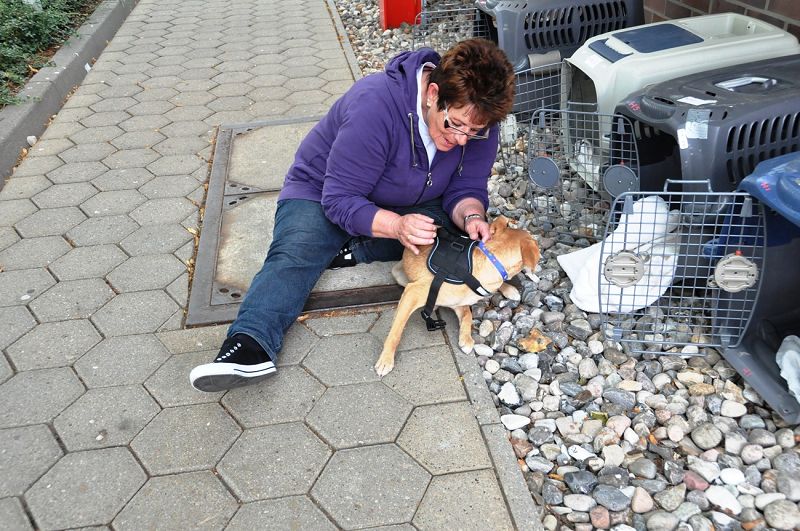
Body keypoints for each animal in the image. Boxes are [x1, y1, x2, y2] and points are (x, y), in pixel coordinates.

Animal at [376, 216, 540, 378]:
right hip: (399, 275)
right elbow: (396, 331)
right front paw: (386, 359)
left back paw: (508, 289)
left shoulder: (459, 303)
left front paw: (466, 339)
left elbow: (468, 315)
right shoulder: (413, 292)